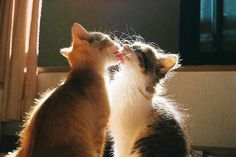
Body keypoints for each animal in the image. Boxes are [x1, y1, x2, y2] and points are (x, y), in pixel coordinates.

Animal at [6, 23, 121, 157]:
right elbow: (100, 152)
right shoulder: (100, 130)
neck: (84, 72)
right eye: (108, 38)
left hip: (13, 152)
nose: (118, 42)